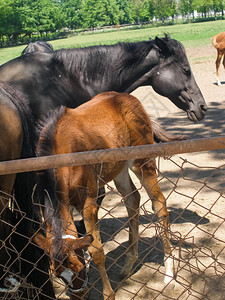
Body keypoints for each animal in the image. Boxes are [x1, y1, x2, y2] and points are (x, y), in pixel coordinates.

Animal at [33, 92, 178, 300]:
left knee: (159, 205)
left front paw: (108, 294)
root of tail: (131, 99)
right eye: (58, 275)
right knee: (133, 198)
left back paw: (169, 275)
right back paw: (128, 265)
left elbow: (96, 251)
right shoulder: (64, 202)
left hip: (142, 162)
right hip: (119, 168)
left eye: (80, 269)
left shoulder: (88, 202)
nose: (80, 296)